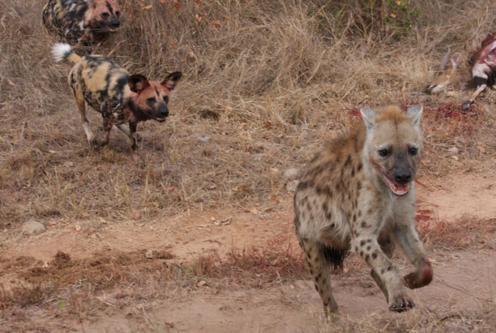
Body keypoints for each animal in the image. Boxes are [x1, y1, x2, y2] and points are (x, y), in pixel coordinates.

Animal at [53, 42, 181, 148]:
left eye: (166, 98)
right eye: (151, 99)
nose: (165, 112)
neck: (126, 97)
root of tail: (81, 60)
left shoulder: (132, 121)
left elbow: (133, 138)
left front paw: (134, 149)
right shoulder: (106, 113)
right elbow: (106, 139)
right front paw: (102, 146)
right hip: (80, 99)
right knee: (84, 120)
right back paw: (91, 138)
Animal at [294, 105, 430, 316]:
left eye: (413, 149)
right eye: (384, 151)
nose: (403, 176)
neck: (387, 191)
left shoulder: (401, 223)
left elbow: (424, 262)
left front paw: (410, 282)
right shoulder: (361, 236)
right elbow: (388, 266)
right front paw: (400, 297)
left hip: (386, 236)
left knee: (374, 270)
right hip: (310, 242)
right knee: (324, 288)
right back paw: (335, 317)